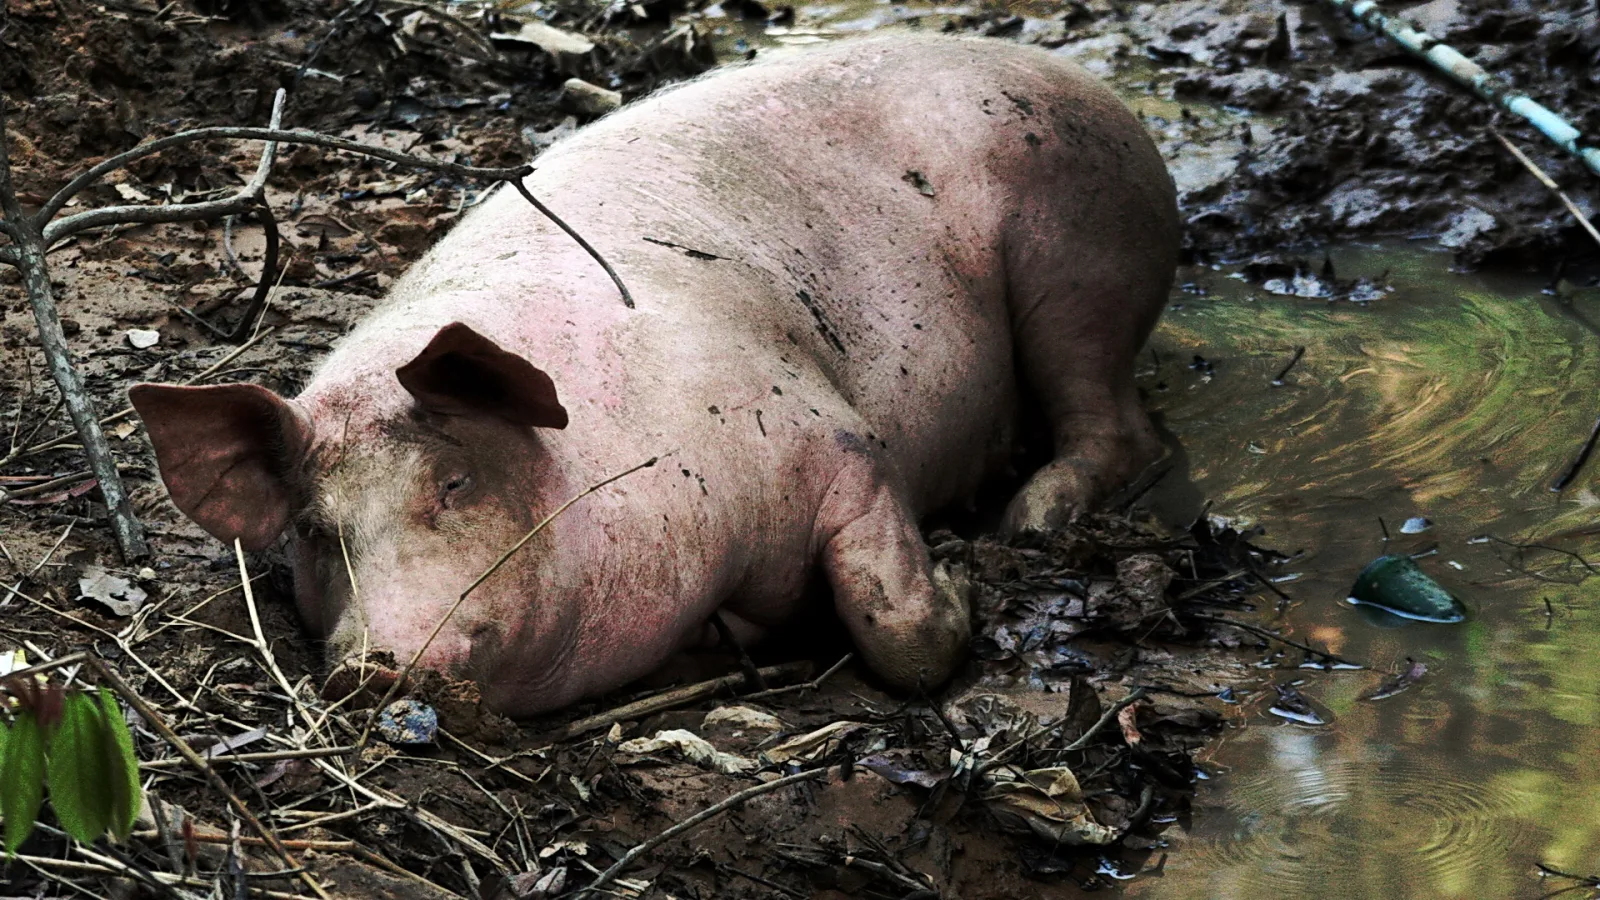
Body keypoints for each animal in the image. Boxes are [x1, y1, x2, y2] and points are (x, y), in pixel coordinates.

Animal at [128, 34, 1178, 716]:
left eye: (455, 484)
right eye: (314, 529)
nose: (372, 663)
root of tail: (1093, 89)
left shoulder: (835, 440)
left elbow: (899, 629)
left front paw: (957, 569)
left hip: (1083, 251)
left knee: (1121, 425)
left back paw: (1029, 521)